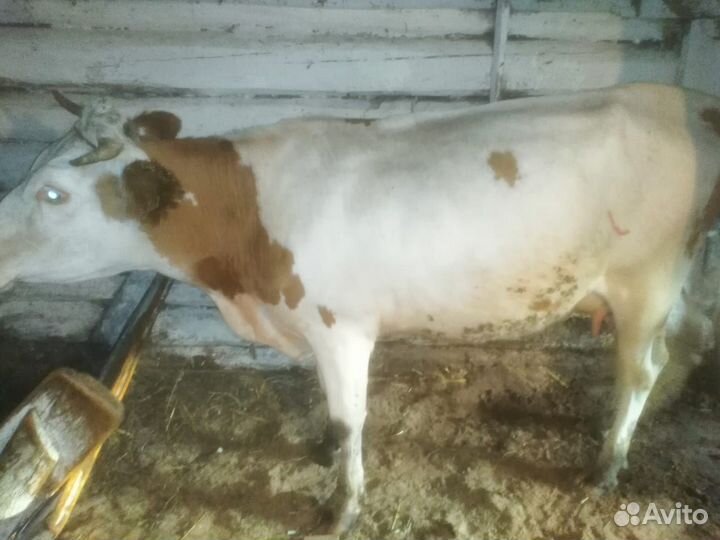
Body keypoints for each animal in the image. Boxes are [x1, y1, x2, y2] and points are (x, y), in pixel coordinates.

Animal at [1, 83, 719, 533]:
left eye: (53, 193)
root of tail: (682, 98)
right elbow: (330, 411)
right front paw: (323, 452)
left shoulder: (340, 326)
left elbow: (352, 419)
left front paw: (342, 508)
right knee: (686, 341)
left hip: (646, 278)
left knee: (642, 368)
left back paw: (607, 463)